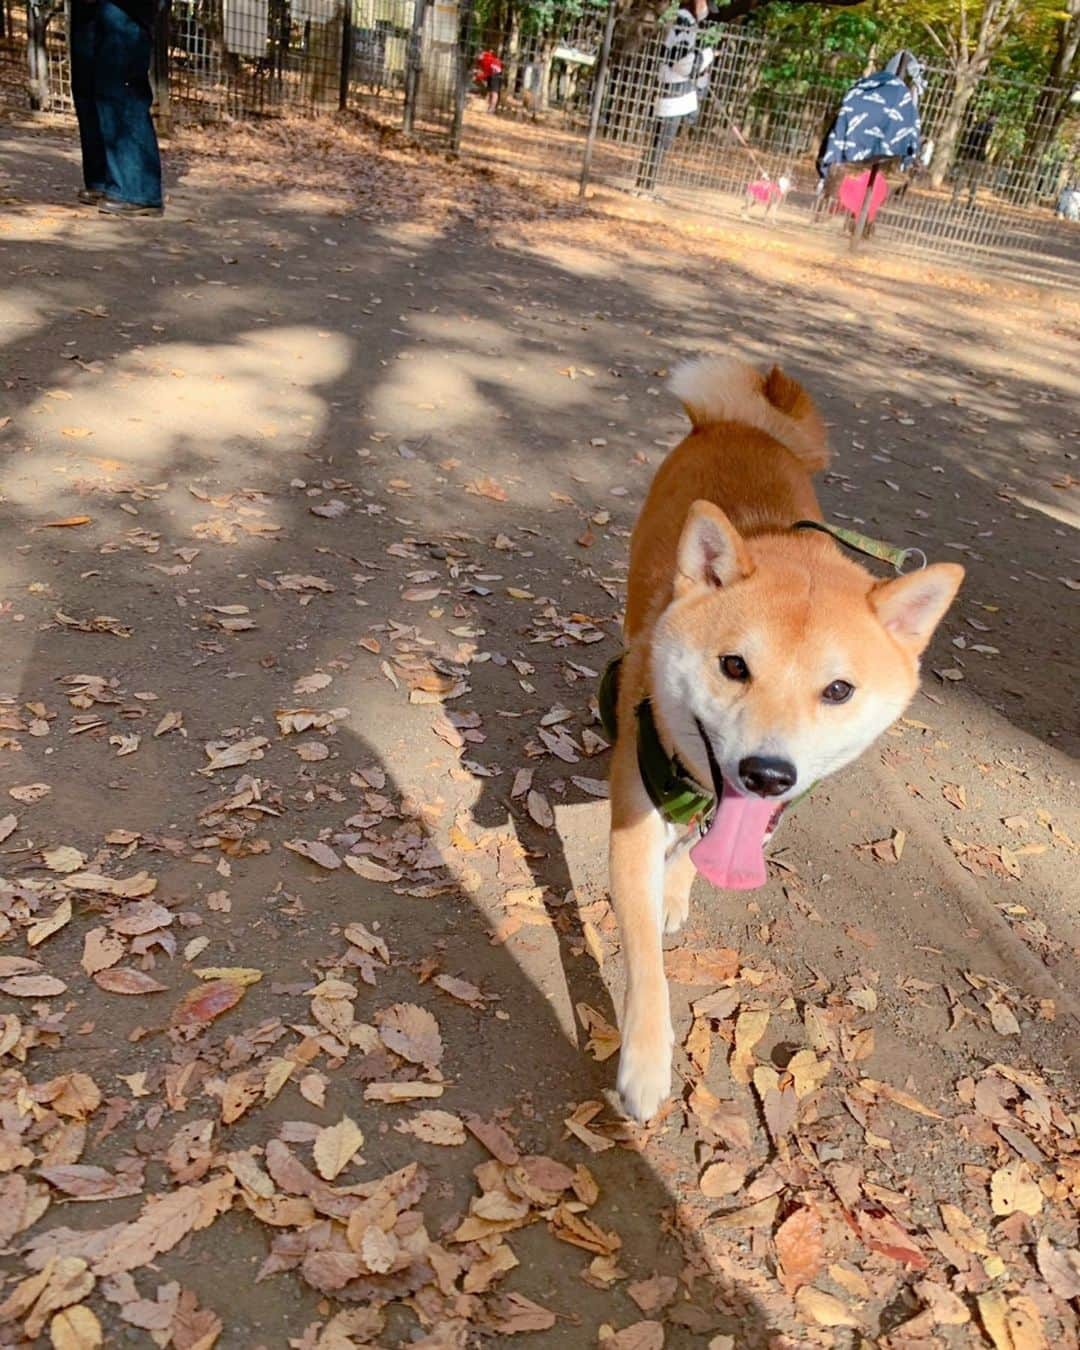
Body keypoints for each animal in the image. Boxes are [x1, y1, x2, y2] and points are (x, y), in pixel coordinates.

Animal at [607, 356, 961, 1117]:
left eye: (839, 691)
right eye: (734, 665)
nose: (768, 773)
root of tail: (741, 422)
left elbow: (698, 854)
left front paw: (679, 887)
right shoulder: (637, 807)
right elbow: (645, 956)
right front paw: (645, 1061)